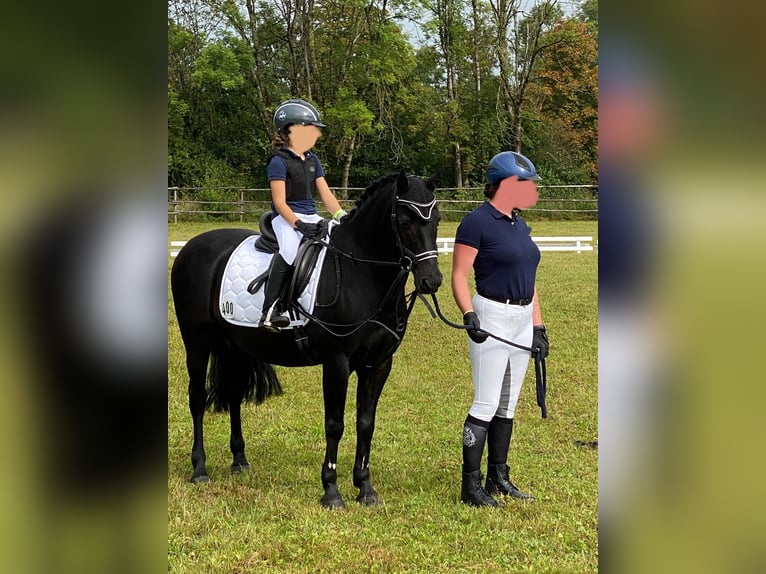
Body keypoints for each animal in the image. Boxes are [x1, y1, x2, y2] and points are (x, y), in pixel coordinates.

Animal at [170, 171, 440, 508]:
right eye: (404, 222)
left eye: (436, 220)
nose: (432, 281)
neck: (359, 274)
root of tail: (191, 246)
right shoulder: (337, 363)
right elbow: (335, 424)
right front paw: (332, 491)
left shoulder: (378, 364)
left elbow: (366, 423)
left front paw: (365, 488)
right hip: (196, 342)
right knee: (196, 399)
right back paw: (200, 469)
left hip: (237, 346)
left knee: (233, 395)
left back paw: (240, 461)